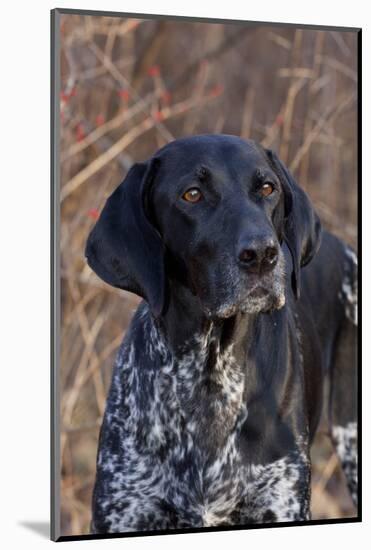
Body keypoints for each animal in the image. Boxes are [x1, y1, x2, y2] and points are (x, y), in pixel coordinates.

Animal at [85, 134, 358, 536]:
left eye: (267, 188)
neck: (209, 376)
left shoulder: (281, 501)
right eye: (192, 194)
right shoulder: (124, 509)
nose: (262, 254)